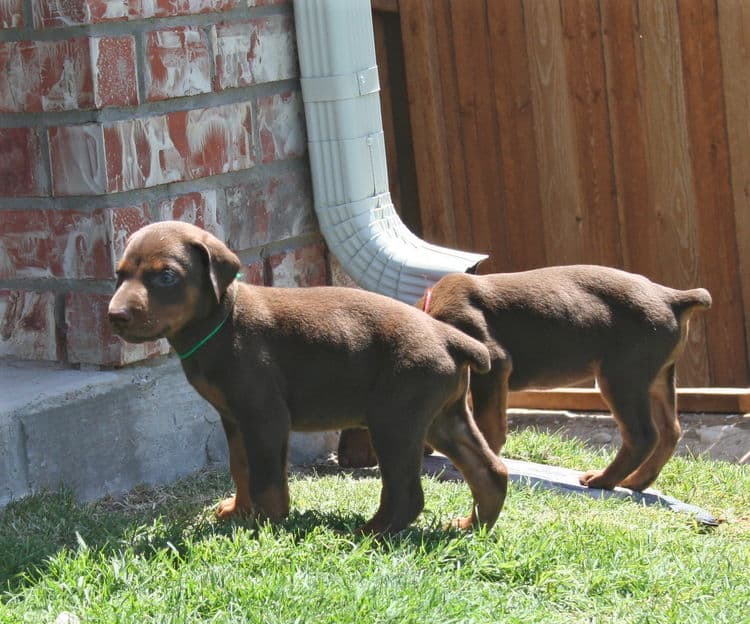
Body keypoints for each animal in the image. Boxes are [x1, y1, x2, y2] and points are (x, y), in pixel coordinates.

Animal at [108, 222, 508, 532]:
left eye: (166, 276)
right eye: (119, 274)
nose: (115, 316)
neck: (221, 322)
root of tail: (448, 337)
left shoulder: (264, 416)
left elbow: (266, 478)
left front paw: (267, 522)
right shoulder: (235, 418)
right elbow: (241, 467)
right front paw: (239, 511)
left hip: (394, 419)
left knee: (407, 493)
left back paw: (371, 532)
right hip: (443, 417)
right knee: (490, 472)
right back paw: (471, 525)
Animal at [340, 266, 712, 490]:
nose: (344, 461)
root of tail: (672, 297)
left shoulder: (495, 366)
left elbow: (489, 424)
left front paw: (484, 457)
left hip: (621, 375)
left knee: (642, 434)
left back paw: (603, 480)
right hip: (658, 376)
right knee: (671, 431)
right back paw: (637, 482)